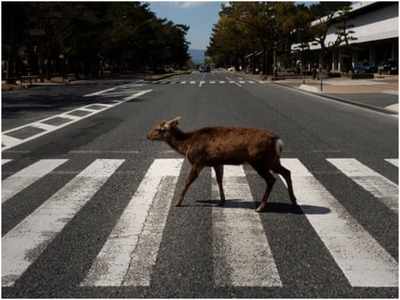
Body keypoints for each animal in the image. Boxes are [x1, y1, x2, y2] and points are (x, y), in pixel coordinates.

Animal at [147, 116, 296, 212]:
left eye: (159, 129)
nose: (147, 136)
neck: (186, 145)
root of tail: (278, 141)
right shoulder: (217, 162)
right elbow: (219, 180)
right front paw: (222, 200)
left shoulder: (198, 160)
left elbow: (188, 181)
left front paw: (178, 203)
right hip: (273, 160)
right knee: (287, 171)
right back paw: (293, 201)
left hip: (259, 160)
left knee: (271, 179)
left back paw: (261, 207)